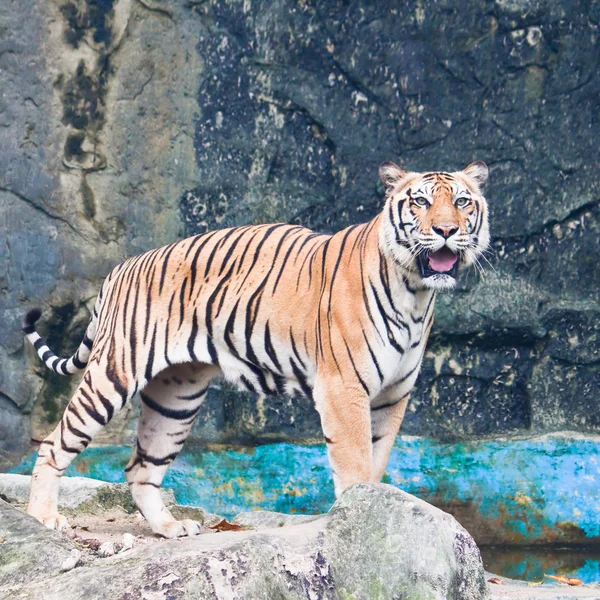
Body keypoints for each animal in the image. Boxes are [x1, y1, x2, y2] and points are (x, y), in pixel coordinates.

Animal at [23, 161, 490, 540]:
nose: (446, 231)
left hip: (176, 397)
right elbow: (356, 464)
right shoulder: (344, 389)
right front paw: (361, 519)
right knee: (53, 444)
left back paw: (170, 527)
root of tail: (121, 267)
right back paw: (43, 518)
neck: (415, 294)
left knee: (141, 467)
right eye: (420, 202)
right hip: (114, 373)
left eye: (462, 201)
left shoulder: (393, 394)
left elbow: (375, 460)